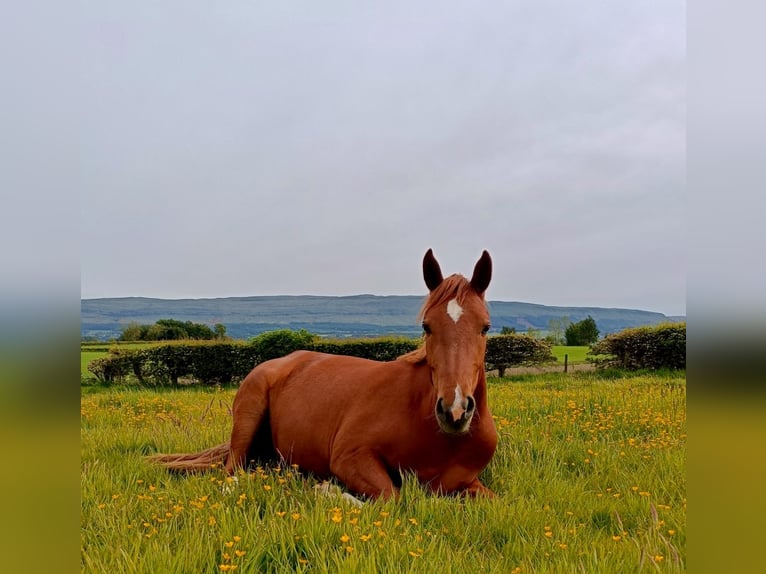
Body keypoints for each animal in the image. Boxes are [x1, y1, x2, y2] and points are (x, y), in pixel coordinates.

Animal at [149, 249, 498, 500]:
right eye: (427, 326)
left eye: (485, 327)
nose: (454, 410)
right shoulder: (350, 457)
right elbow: (392, 497)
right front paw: (327, 489)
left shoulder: (468, 484)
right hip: (248, 419)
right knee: (231, 472)